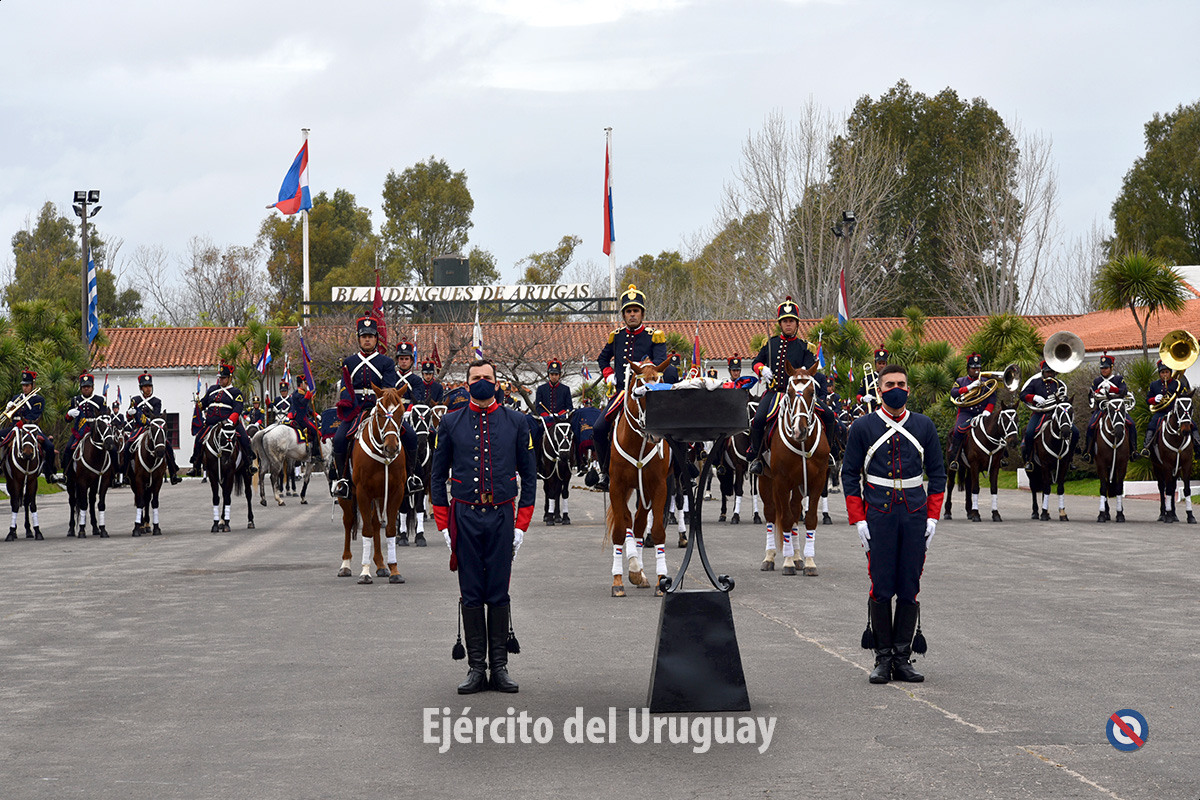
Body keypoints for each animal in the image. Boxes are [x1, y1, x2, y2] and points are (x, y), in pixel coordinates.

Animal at [340, 383, 410, 585]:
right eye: (379, 413)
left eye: (401, 413)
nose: (391, 447)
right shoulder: (363, 493)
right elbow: (367, 531)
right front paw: (365, 572)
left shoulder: (395, 492)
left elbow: (390, 529)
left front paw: (394, 571)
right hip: (347, 496)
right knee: (348, 521)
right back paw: (345, 565)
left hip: (379, 496)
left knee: (376, 523)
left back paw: (380, 565)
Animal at [600, 359, 676, 597]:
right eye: (638, 394)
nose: (655, 433)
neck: (638, 443)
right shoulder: (616, 487)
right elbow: (619, 531)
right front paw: (618, 581)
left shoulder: (658, 487)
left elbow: (657, 531)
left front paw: (661, 580)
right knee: (627, 522)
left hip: (645, 492)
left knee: (640, 524)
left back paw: (639, 572)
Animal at [753, 362, 830, 575]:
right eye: (789, 392)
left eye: (812, 392)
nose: (799, 430)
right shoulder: (780, 481)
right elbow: (785, 519)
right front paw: (787, 562)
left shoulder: (817, 481)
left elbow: (809, 518)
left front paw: (809, 562)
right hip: (766, 479)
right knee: (771, 513)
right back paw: (770, 557)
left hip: (797, 485)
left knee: (795, 511)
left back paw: (797, 557)